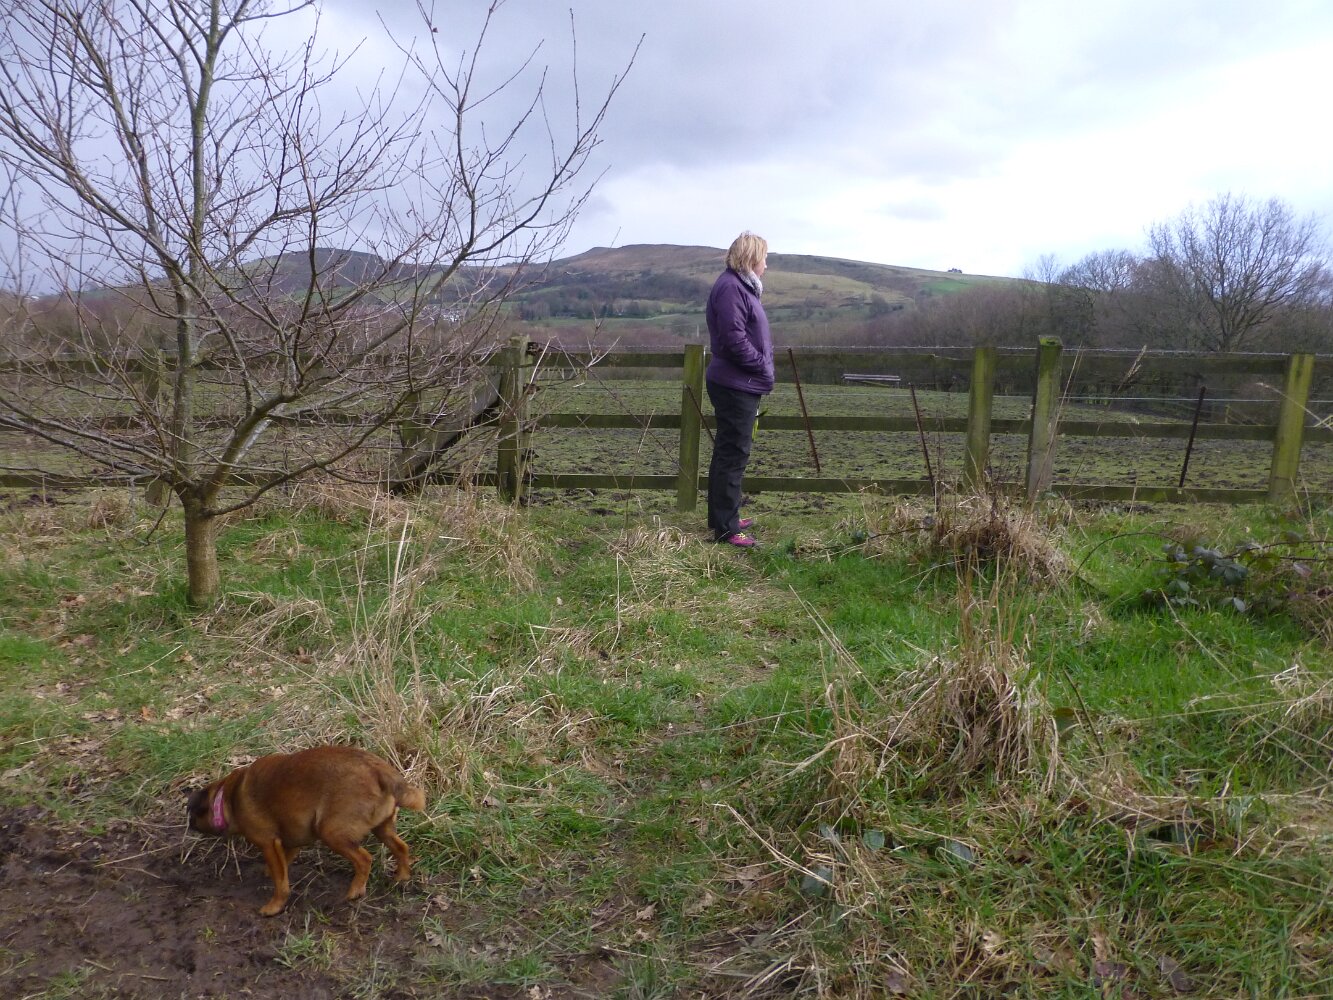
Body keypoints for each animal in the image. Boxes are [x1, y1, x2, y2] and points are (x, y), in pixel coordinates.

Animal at [186, 745, 426, 916]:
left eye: (192, 814)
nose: (189, 823)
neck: (227, 798)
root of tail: (379, 770)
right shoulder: (292, 841)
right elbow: (283, 863)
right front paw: (269, 872)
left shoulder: (267, 843)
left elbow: (281, 883)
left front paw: (275, 906)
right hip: (382, 828)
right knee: (401, 848)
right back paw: (402, 876)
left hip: (331, 832)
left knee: (364, 859)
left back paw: (355, 891)